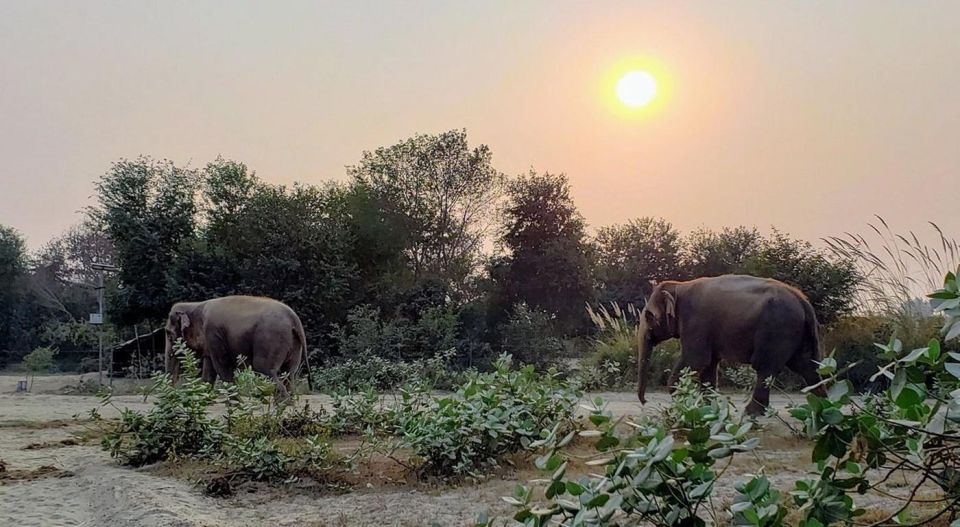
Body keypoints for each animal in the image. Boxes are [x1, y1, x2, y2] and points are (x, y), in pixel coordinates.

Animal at [164, 295, 313, 396]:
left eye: (169, 334)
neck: (195, 305)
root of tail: (294, 318)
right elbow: (209, 373)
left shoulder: (213, 333)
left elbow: (222, 366)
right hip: (294, 343)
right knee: (289, 374)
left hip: (271, 338)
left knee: (265, 368)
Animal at [636, 274, 823, 415]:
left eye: (648, 316)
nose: (644, 401)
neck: (679, 286)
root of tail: (803, 301)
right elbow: (709, 365)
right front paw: (707, 407)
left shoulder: (696, 322)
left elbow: (696, 359)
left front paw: (683, 403)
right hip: (798, 333)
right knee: (807, 366)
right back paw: (820, 408)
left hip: (778, 329)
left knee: (766, 367)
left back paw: (751, 412)